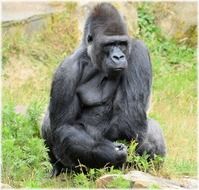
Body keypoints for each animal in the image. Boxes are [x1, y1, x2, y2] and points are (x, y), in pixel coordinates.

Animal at [42, 2, 166, 177]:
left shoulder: (138, 50)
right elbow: (65, 126)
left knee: (151, 130)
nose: (119, 57)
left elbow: (129, 118)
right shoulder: (66, 71)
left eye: (121, 43)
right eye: (109, 44)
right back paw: (58, 167)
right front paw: (109, 151)